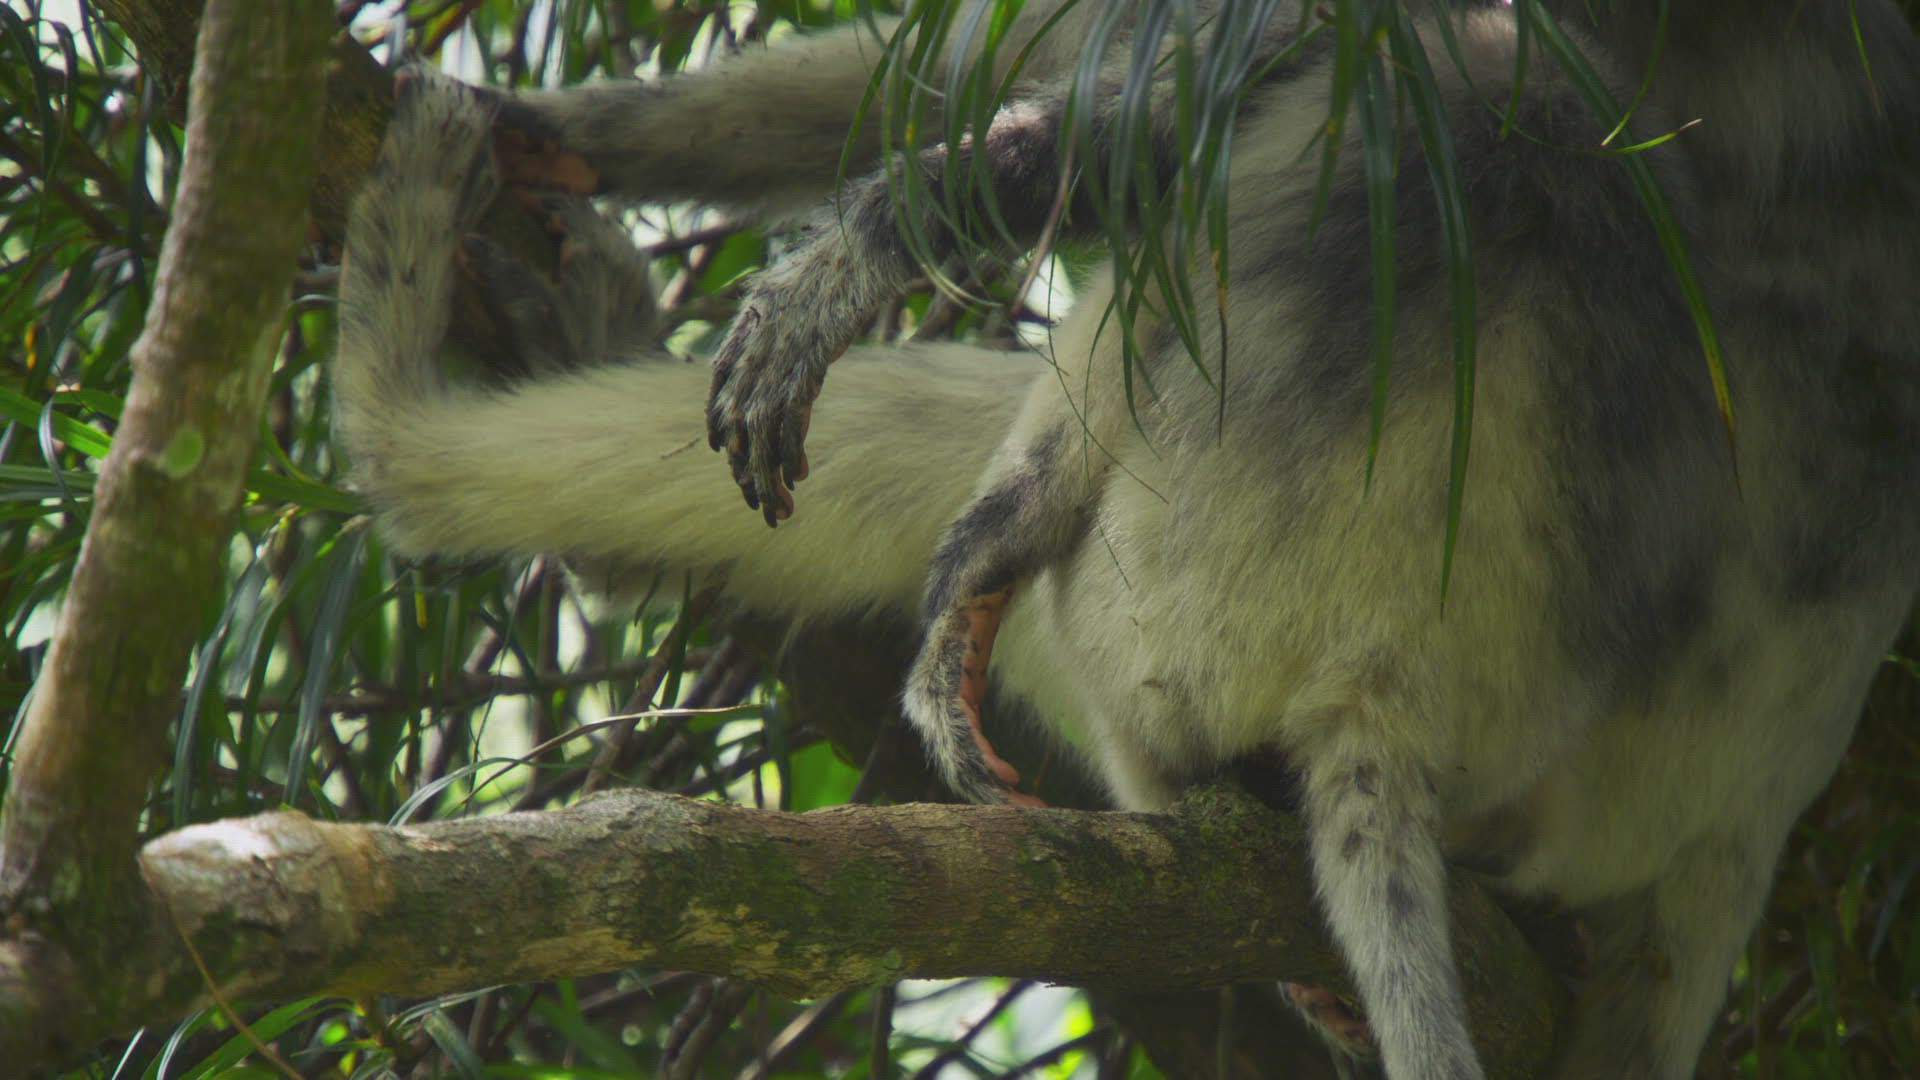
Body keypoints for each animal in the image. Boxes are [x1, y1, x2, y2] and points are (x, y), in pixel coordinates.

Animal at [331, 2, 1920, 1077]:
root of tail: (1383, 697)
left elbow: (1190, 121)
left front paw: (862, 260)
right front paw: (564, 130)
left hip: (1164, 618)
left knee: (1376, 110)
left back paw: (412, 423)